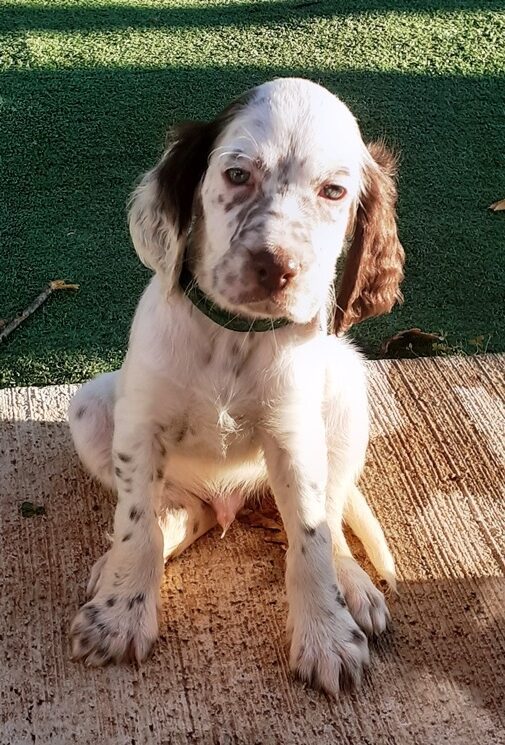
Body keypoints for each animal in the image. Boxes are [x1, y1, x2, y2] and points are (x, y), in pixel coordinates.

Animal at [69, 78, 404, 696]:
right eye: (237, 175)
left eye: (334, 191)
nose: (276, 267)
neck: (233, 334)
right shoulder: (140, 427)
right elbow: (136, 526)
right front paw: (119, 616)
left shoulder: (296, 439)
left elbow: (313, 539)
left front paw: (326, 635)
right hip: (91, 406)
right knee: (183, 513)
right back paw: (119, 564)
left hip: (346, 391)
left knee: (333, 512)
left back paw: (354, 585)